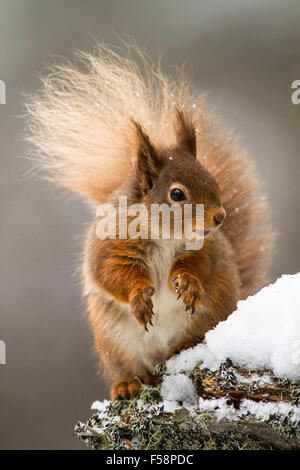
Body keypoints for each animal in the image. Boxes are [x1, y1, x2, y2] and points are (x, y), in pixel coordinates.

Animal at [26, 44, 274, 400]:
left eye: (213, 181)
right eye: (177, 194)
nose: (220, 217)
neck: (165, 234)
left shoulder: (207, 249)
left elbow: (201, 266)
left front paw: (187, 282)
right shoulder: (111, 245)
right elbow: (110, 273)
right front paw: (140, 295)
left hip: (209, 317)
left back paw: (182, 347)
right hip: (115, 343)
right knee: (132, 368)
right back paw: (129, 383)